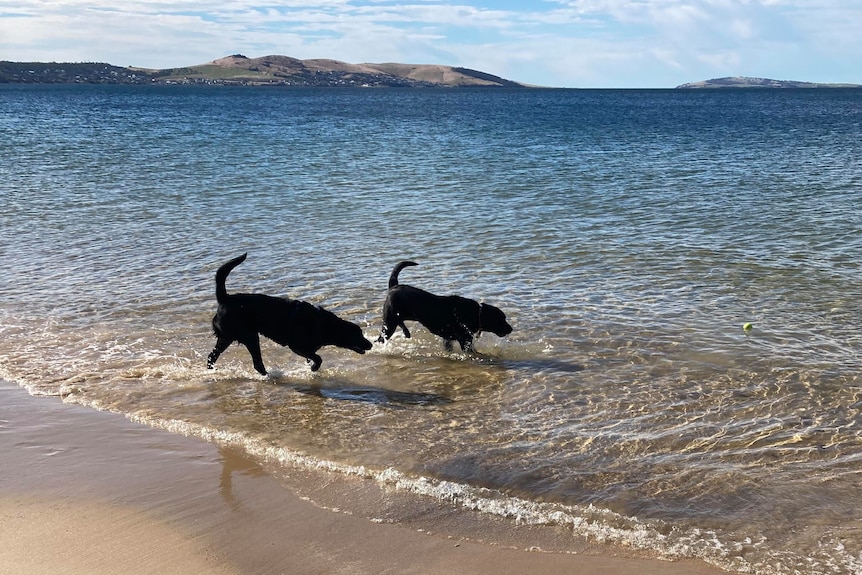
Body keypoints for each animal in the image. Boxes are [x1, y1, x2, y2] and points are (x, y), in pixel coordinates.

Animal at [209, 254, 374, 376]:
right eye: (358, 335)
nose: (371, 344)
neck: (323, 323)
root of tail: (225, 298)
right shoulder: (297, 346)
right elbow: (318, 358)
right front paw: (314, 368)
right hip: (249, 336)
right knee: (257, 363)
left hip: (227, 337)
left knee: (212, 356)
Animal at [378, 260, 512, 352]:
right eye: (501, 319)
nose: (511, 329)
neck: (476, 313)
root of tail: (394, 286)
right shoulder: (465, 341)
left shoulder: (448, 340)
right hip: (389, 323)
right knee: (381, 338)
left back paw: (406, 332)